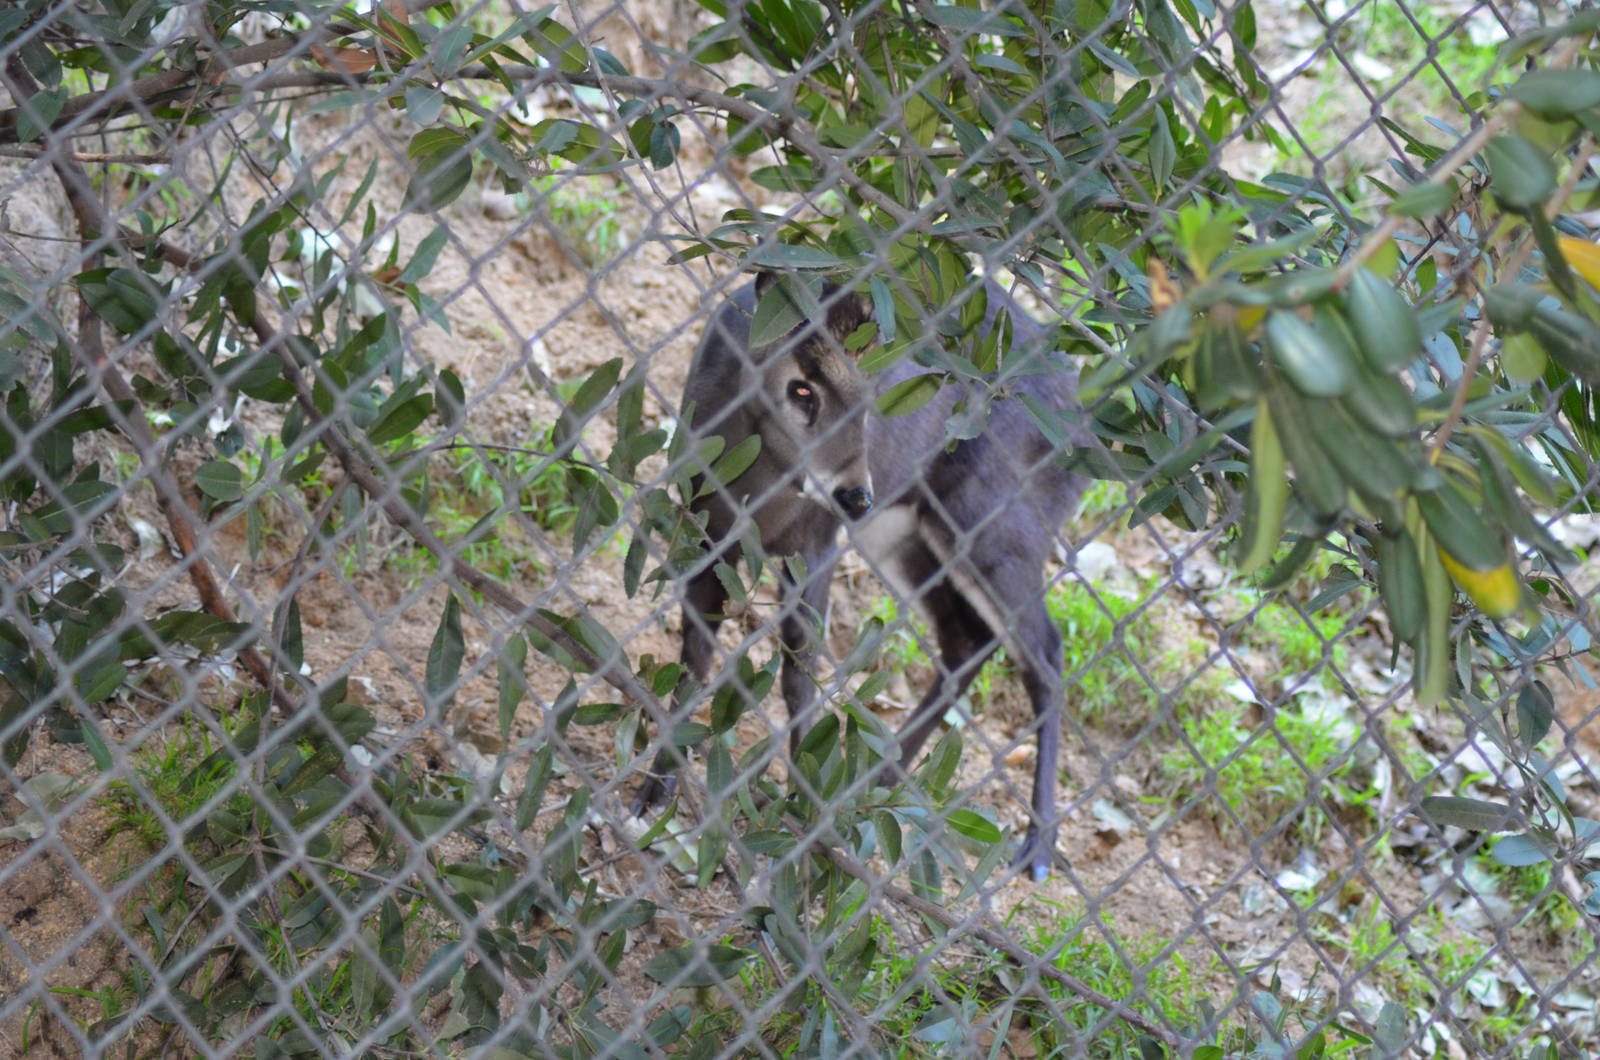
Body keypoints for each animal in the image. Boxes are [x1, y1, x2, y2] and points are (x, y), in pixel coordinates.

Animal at [637, 271, 1089, 881]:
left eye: (876, 396)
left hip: (999, 529)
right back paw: (883, 781)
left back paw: (1037, 849)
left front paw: (802, 805)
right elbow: (696, 655)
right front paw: (655, 788)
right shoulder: (705, 530)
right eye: (803, 389)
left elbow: (800, 668)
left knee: (1046, 649)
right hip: (909, 533)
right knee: (968, 639)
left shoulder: (817, 543)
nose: (855, 494)